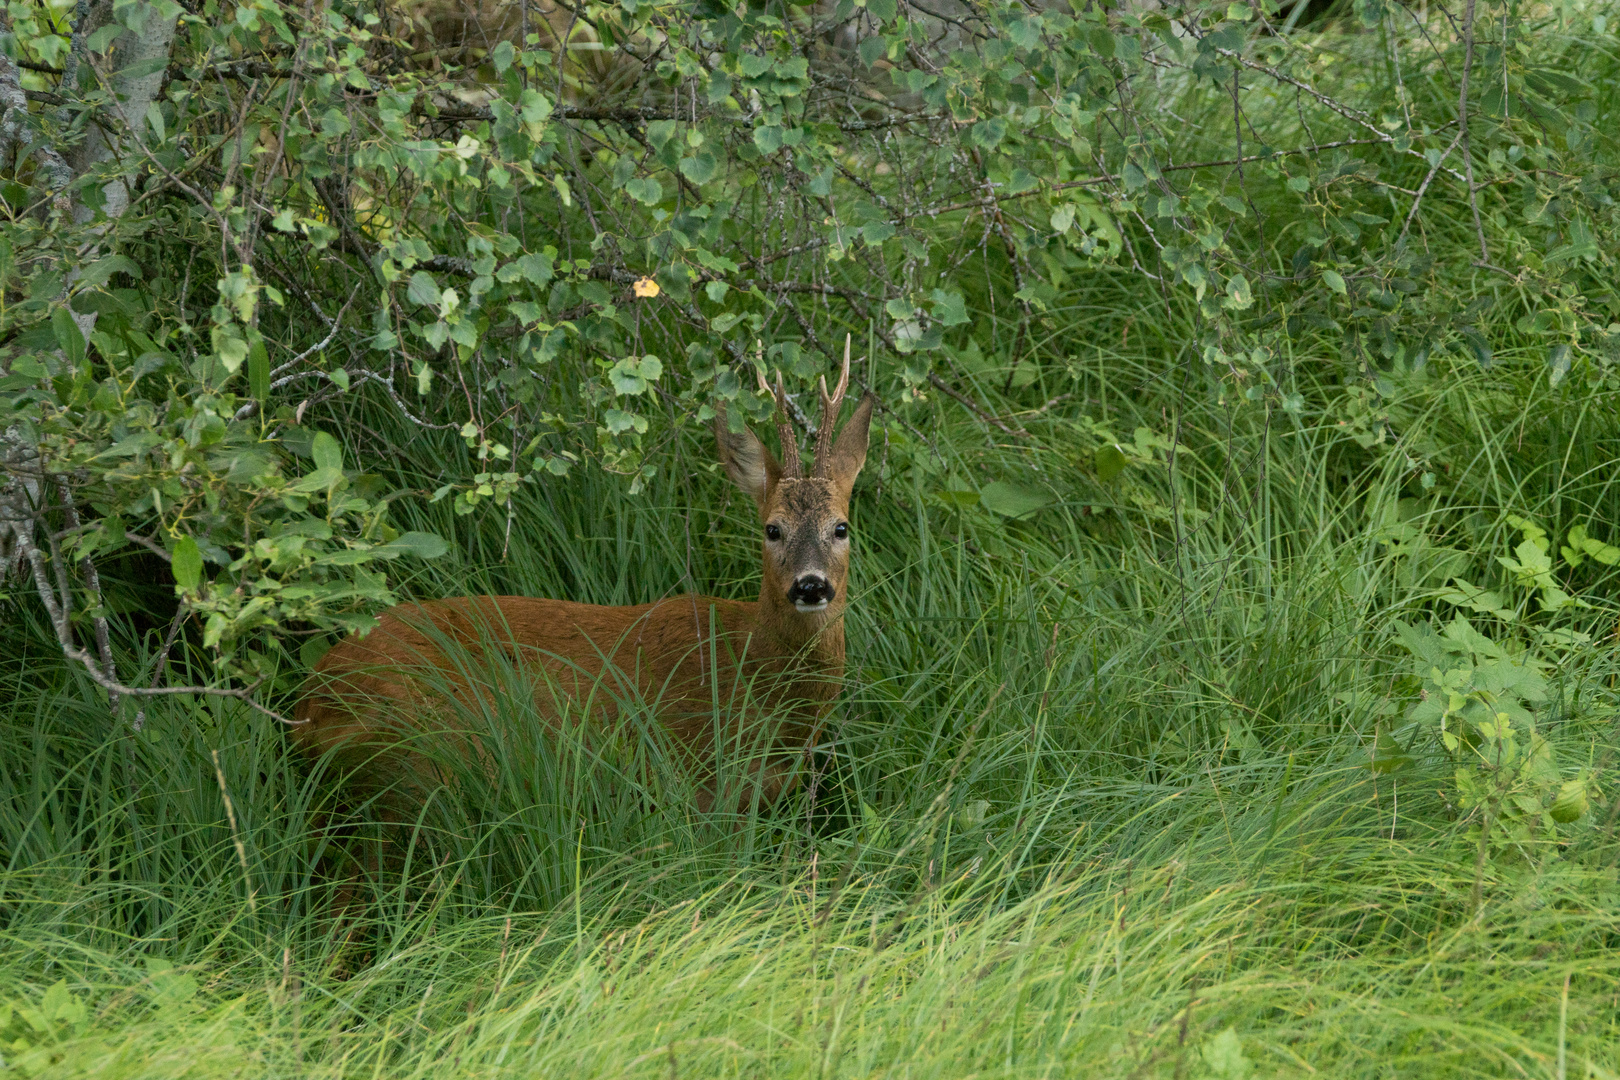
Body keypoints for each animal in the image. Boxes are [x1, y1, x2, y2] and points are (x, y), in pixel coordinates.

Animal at [291, 351, 874, 816]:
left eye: (841, 527)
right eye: (772, 528)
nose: (811, 586)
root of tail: (308, 704)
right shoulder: (700, 787)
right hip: (419, 761)